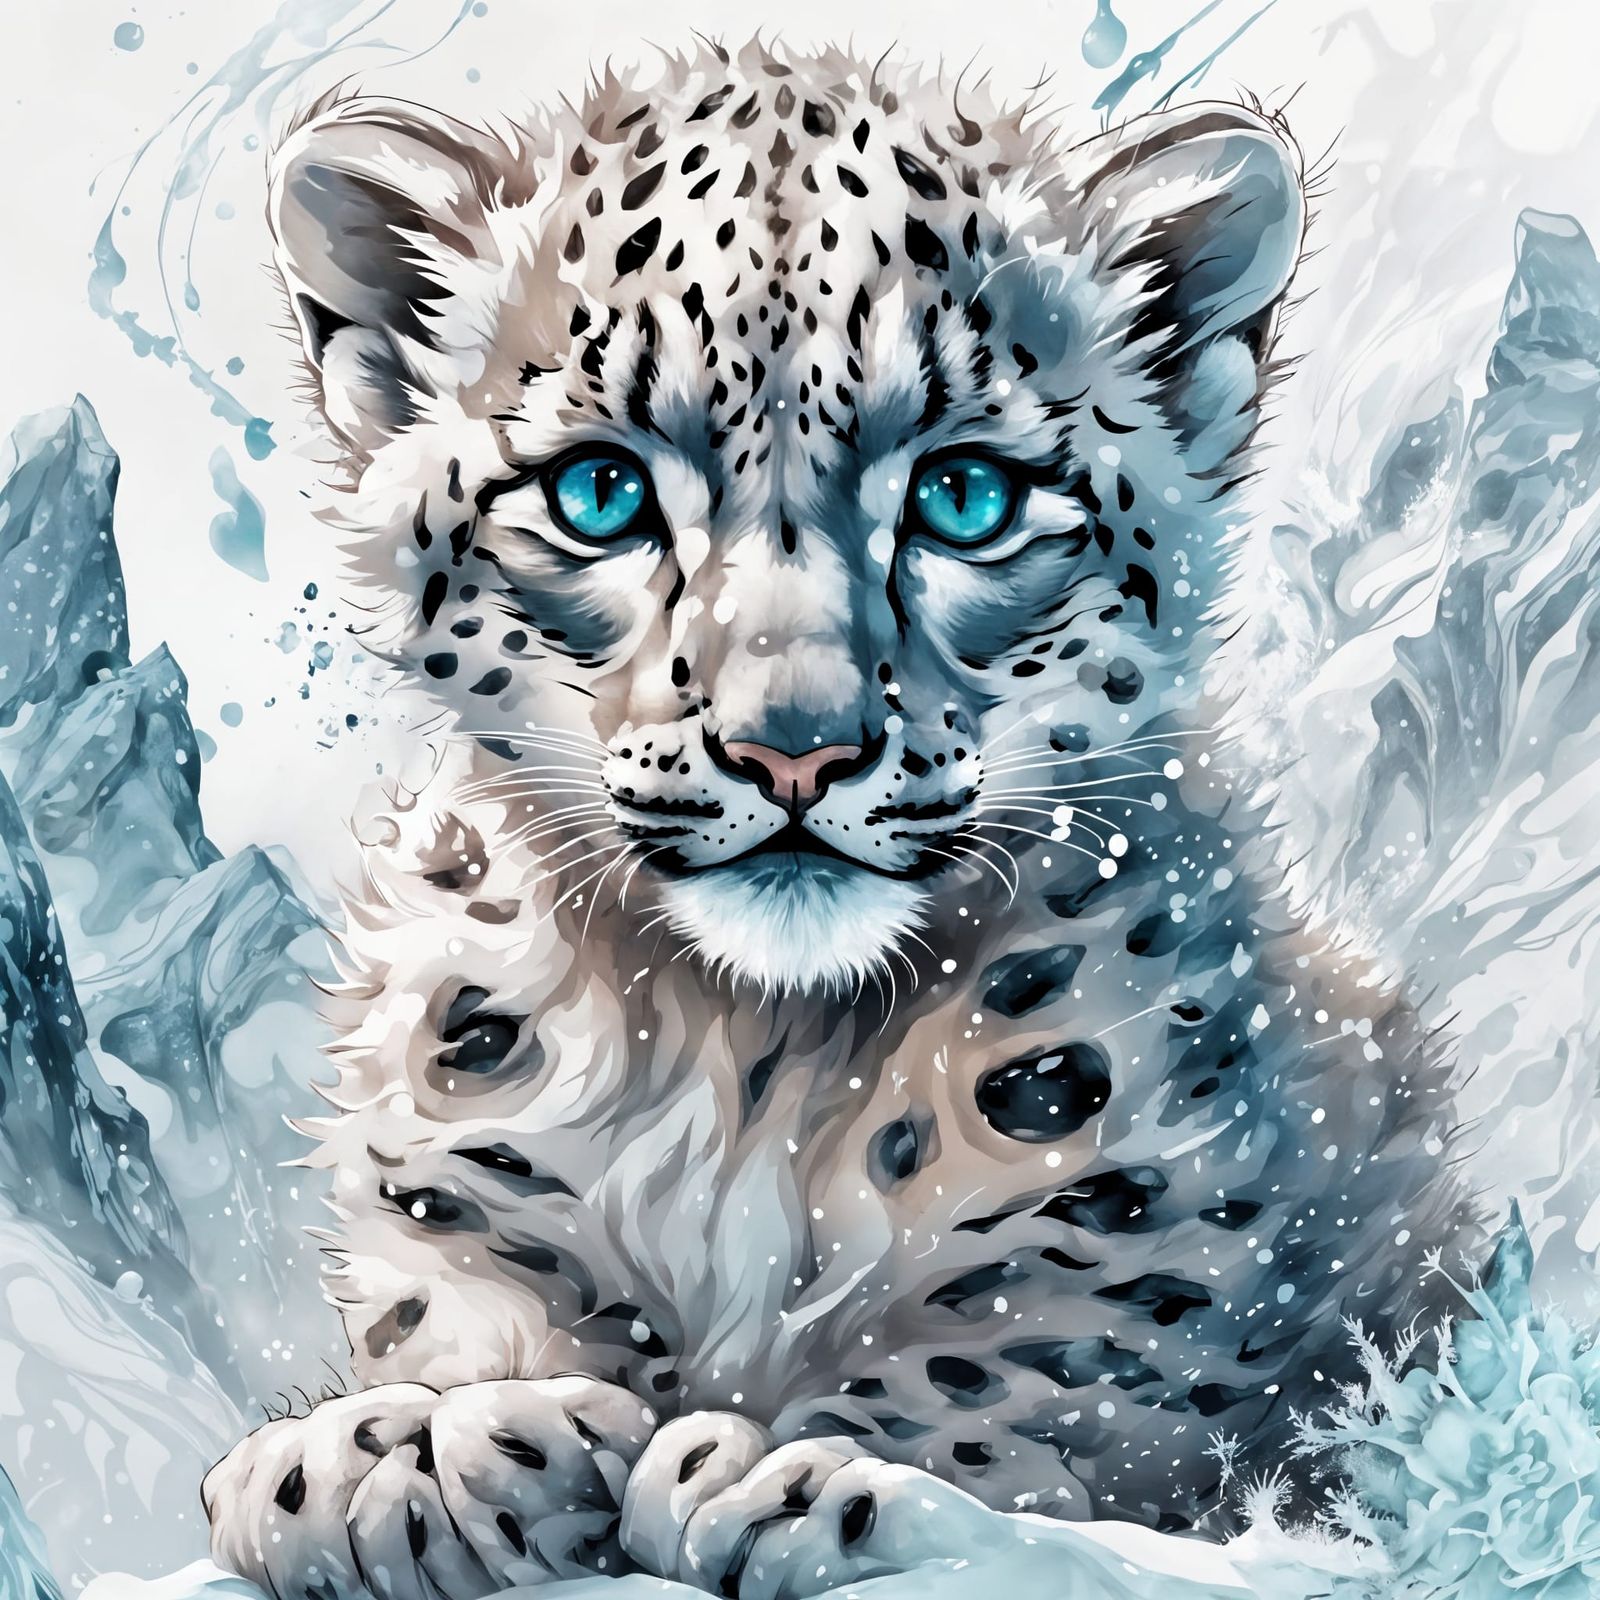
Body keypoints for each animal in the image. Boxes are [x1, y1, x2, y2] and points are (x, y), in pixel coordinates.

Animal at [203, 37, 1473, 1600]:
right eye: (599, 489)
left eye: (967, 494)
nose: (794, 749)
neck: (747, 1053)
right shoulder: (455, 1162)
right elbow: (458, 1283)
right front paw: (413, 1444)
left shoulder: (1164, 1213)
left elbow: (1047, 1347)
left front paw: (812, 1472)